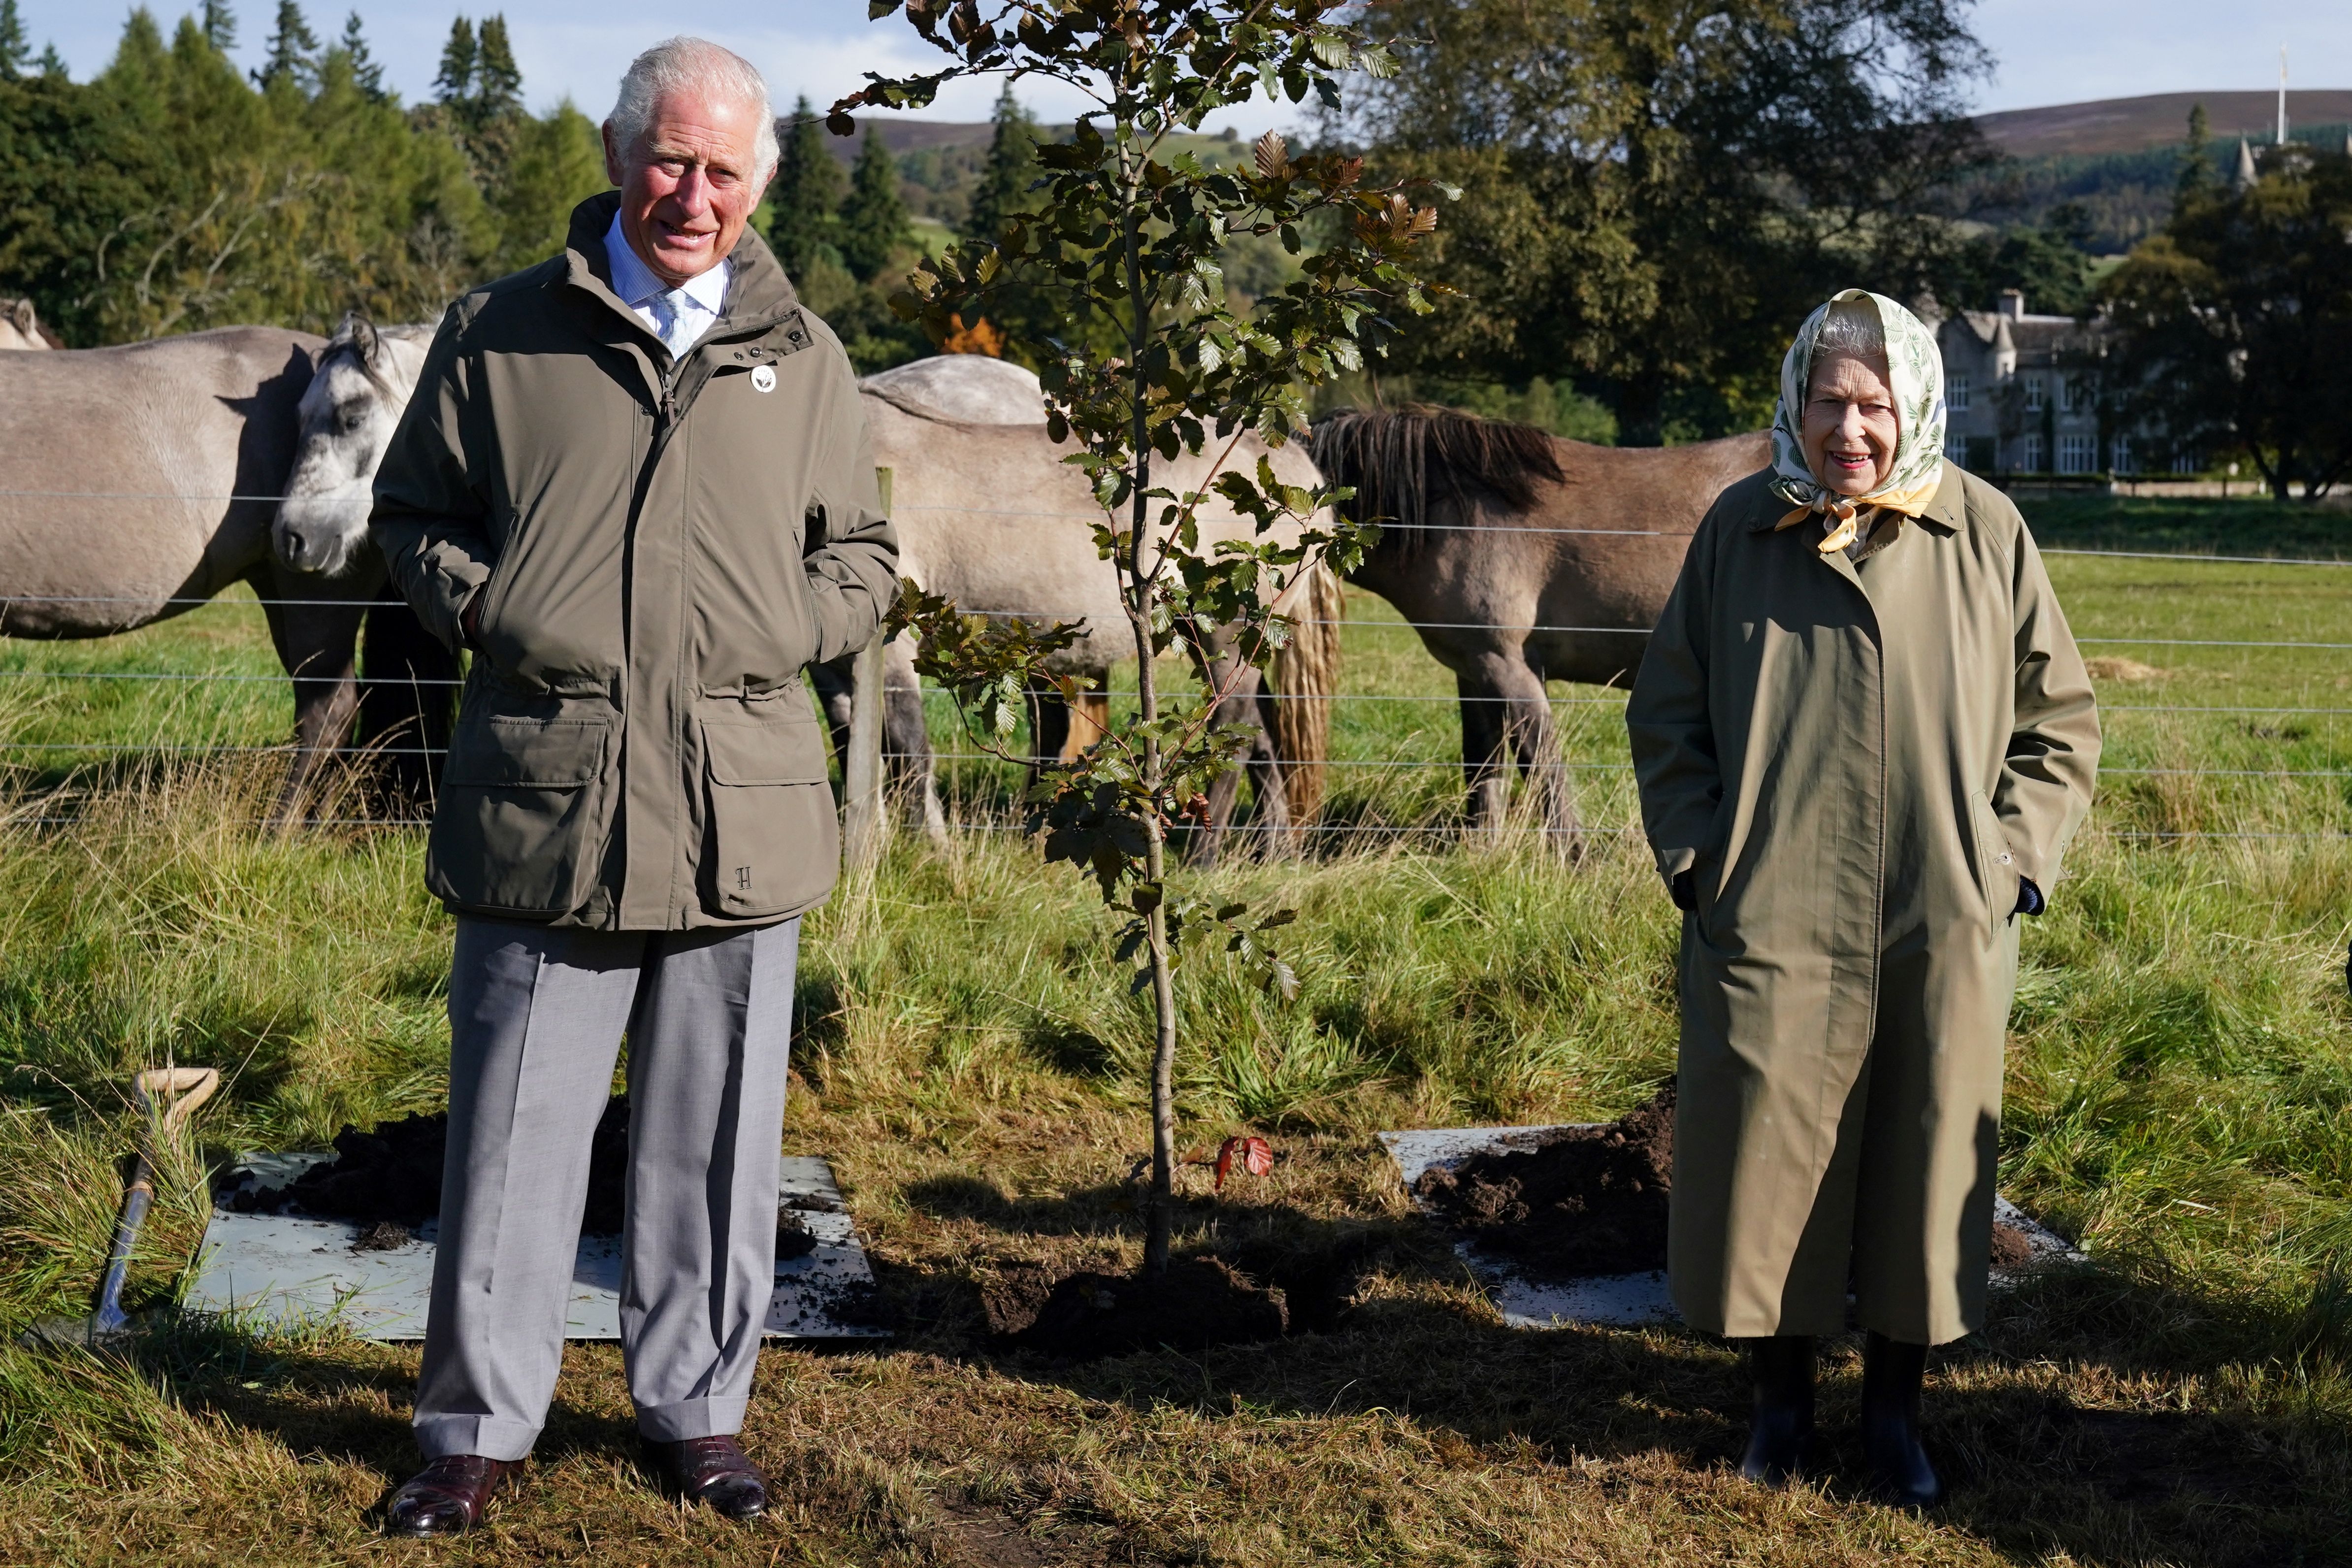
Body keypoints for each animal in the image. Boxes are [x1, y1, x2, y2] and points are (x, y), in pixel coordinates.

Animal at [1307, 404, 1768, 846]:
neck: (1450, 514)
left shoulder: (1507, 665)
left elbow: (1541, 764)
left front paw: (1574, 858)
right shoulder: (1474, 671)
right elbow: (1483, 765)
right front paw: (1481, 851)